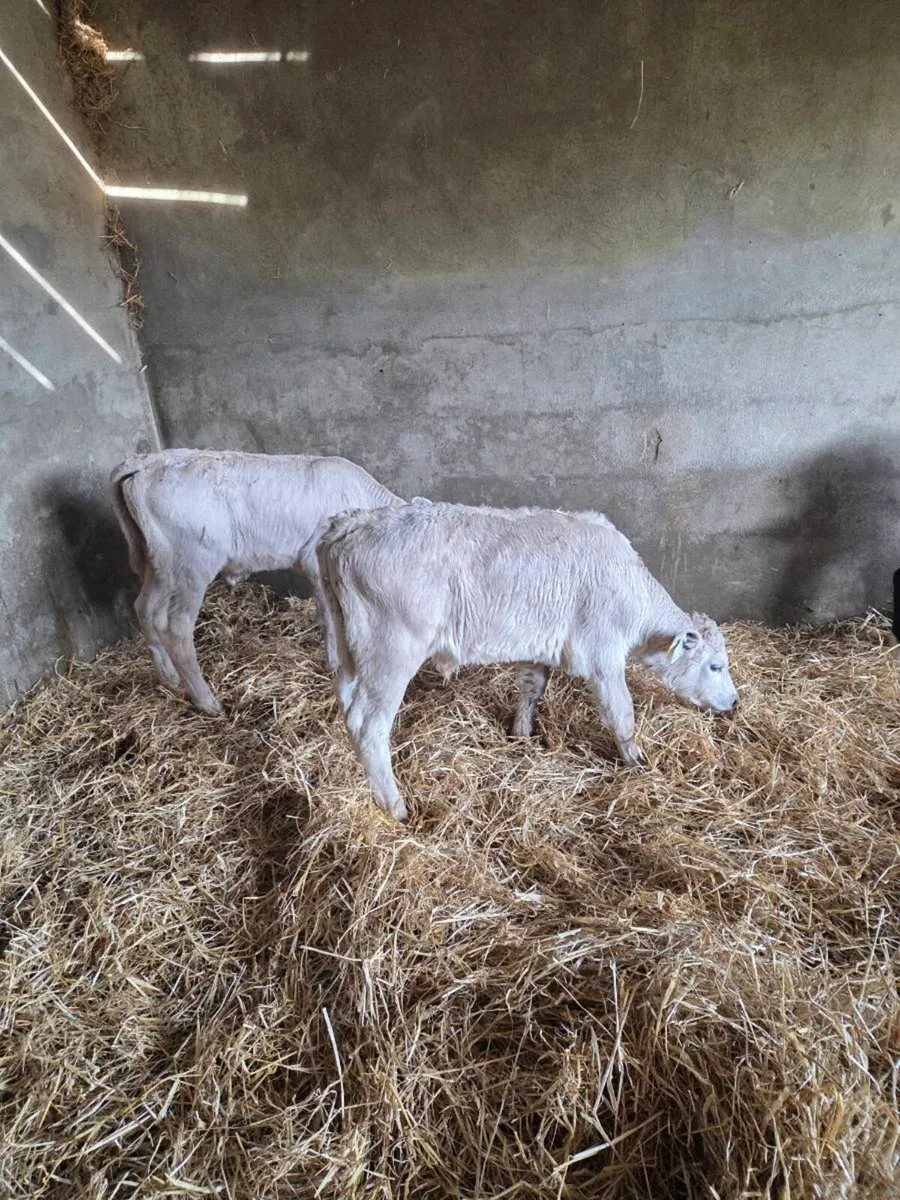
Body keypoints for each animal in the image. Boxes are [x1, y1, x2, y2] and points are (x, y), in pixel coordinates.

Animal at [110, 449, 402, 715]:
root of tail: (146, 462)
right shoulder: (316, 563)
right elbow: (328, 617)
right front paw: (333, 664)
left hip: (159, 566)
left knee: (146, 609)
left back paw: (168, 678)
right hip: (192, 565)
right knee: (176, 627)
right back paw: (207, 702)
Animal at [317, 501, 738, 820]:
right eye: (715, 666)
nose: (734, 702)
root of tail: (353, 521)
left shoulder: (540, 645)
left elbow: (532, 687)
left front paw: (521, 734)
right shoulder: (603, 655)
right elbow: (622, 713)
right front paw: (635, 760)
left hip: (350, 650)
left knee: (347, 706)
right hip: (391, 651)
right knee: (368, 724)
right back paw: (396, 807)